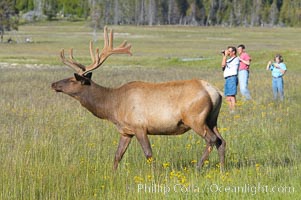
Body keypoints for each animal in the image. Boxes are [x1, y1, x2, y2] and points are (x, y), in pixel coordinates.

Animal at [51, 26, 225, 170]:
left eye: (72, 79)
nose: (53, 84)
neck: (113, 106)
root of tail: (214, 91)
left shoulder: (140, 126)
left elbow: (148, 154)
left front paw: (155, 174)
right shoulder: (126, 131)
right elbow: (117, 155)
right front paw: (113, 174)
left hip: (195, 119)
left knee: (212, 140)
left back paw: (199, 167)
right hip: (212, 119)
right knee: (221, 141)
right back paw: (222, 169)